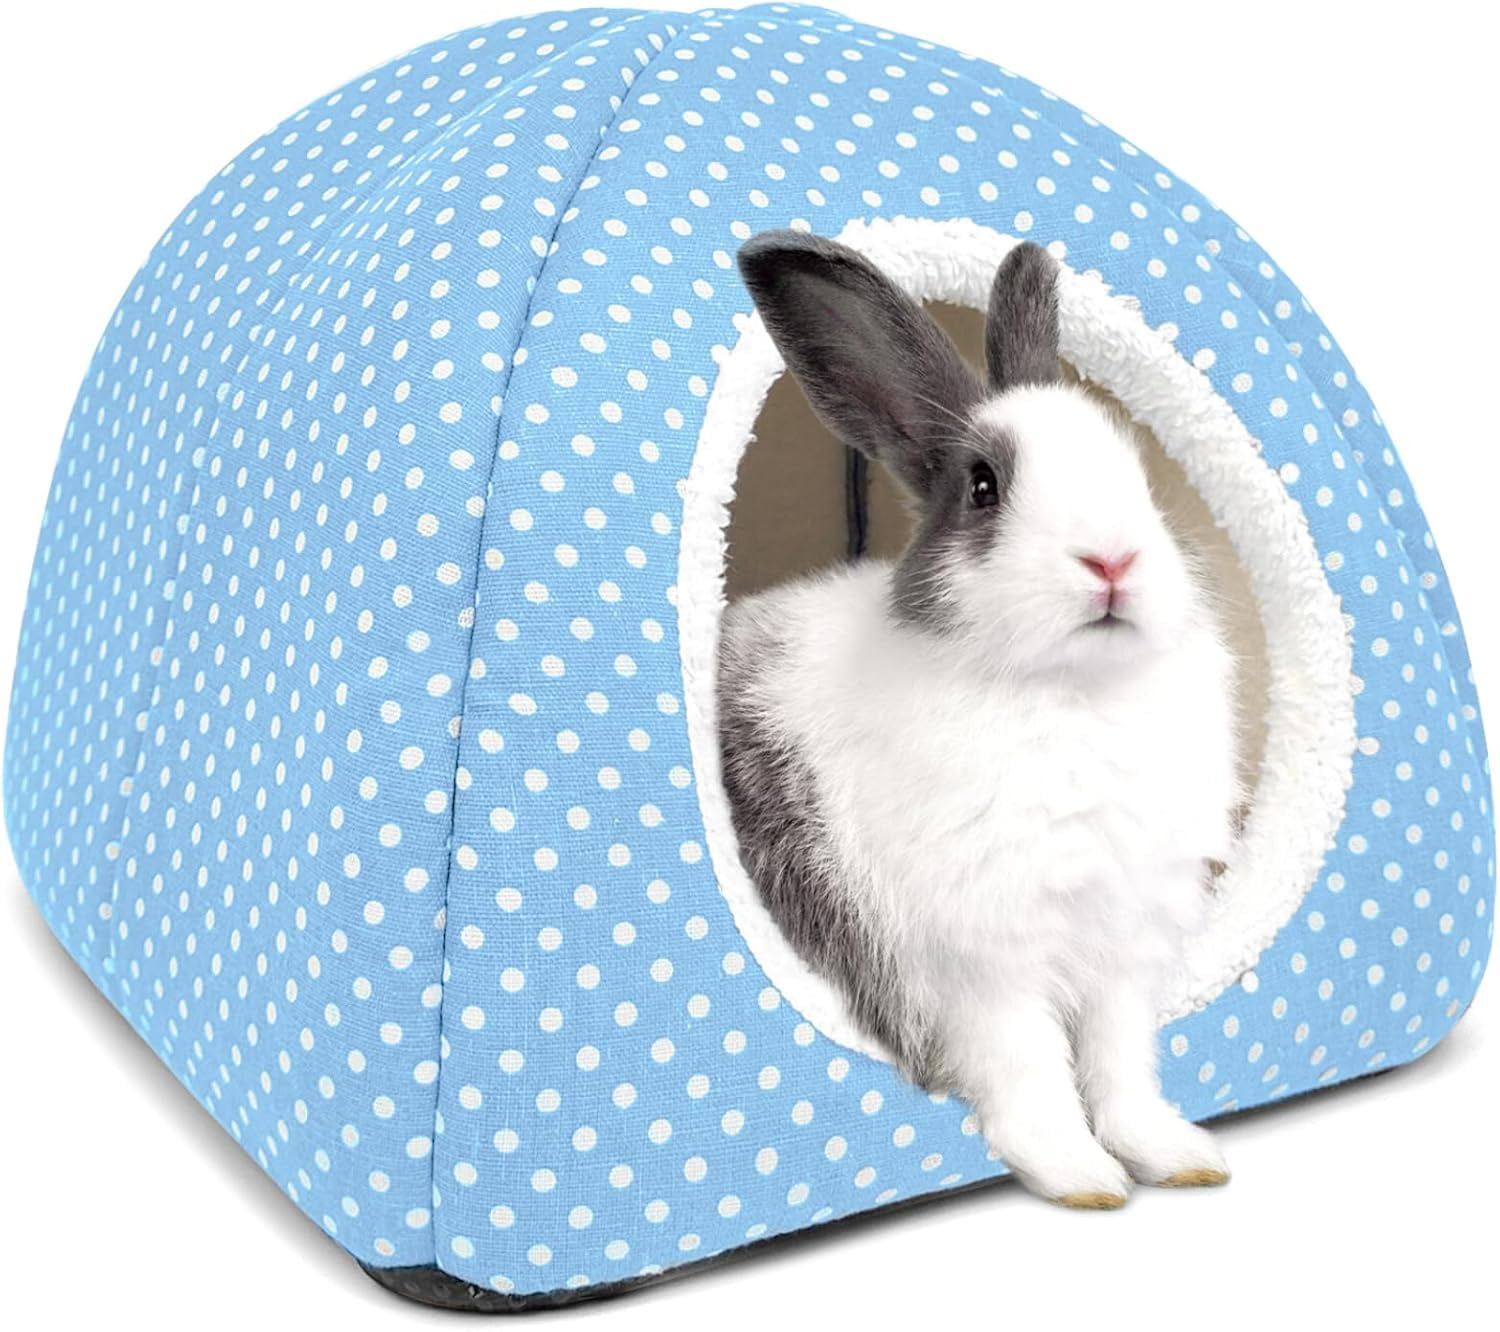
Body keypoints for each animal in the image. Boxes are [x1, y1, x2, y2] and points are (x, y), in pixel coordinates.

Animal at [717, 230, 1242, 1209]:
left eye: (1138, 473)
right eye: (984, 487)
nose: (1112, 560)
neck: (1072, 692)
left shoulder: (1123, 950)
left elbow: (1122, 1066)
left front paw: (1179, 1156)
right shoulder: (983, 962)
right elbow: (1030, 1069)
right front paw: (1082, 1177)